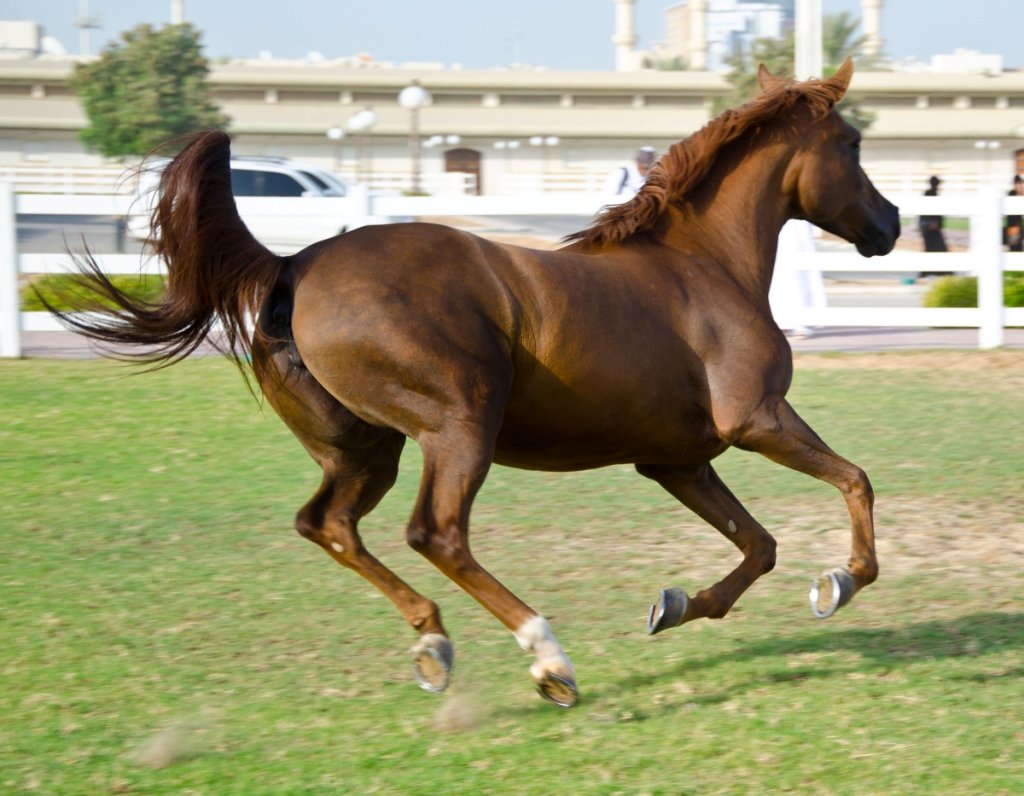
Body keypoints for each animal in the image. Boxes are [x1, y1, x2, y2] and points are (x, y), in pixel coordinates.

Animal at [49, 59, 899, 708]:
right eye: (853, 142)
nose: (889, 224)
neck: (701, 266)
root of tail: (294, 264)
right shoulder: (754, 420)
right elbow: (854, 482)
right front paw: (842, 582)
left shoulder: (676, 459)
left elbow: (759, 544)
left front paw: (679, 605)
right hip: (460, 425)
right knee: (437, 533)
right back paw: (549, 660)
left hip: (366, 450)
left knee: (328, 524)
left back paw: (434, 642)